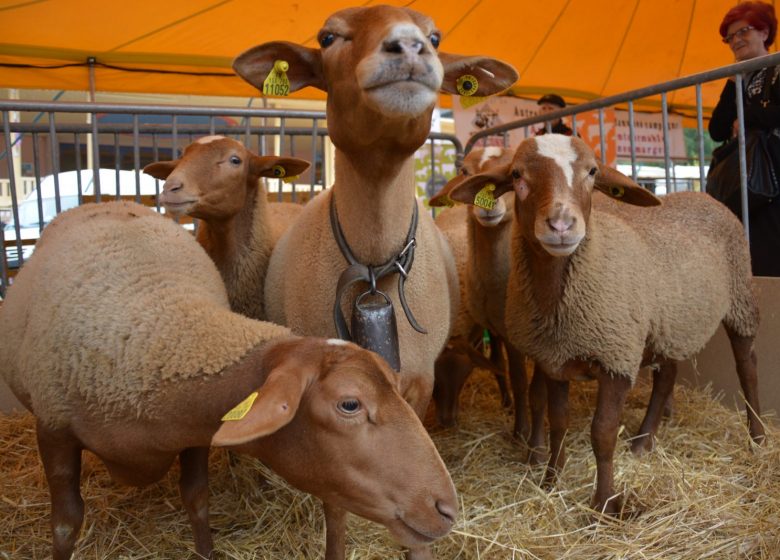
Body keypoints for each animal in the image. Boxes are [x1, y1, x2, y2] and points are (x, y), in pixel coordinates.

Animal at [448, 133, 764, 516]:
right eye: (517, 175)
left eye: (592, 172)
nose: (561, 225)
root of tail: (704, 196)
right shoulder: (555, 360)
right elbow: (559, 423)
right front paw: (551, 480)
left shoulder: (616, 359)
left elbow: (602, 433)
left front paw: (604, 502)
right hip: (669, 323)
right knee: (667, 377)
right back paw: (643, 442)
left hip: (740, 298)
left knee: (747, 367)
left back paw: (757, 437)